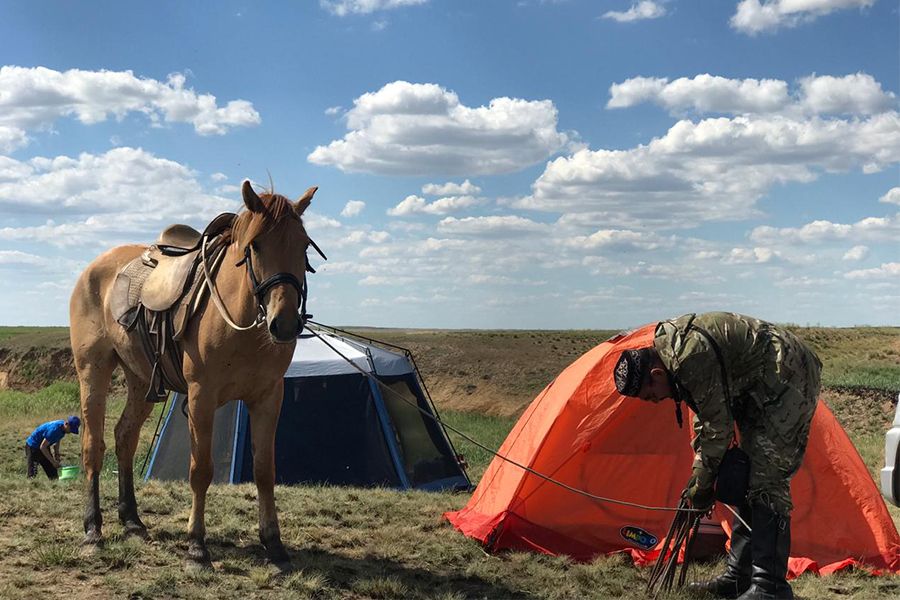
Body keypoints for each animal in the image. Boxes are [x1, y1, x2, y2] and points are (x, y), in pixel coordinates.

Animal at [69, 180, 316, 564]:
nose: (286, 323)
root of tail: (93, 270)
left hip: (142, 380)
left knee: (125, 437)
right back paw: (93, 529)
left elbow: (264, 470)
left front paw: (273, 543)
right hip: (92, 370)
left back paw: (132, 519)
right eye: (255, 245)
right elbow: (200, 470)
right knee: (93, 446)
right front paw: (197, 546)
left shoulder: (268, 396)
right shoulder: (201, 396)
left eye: (303, 244)